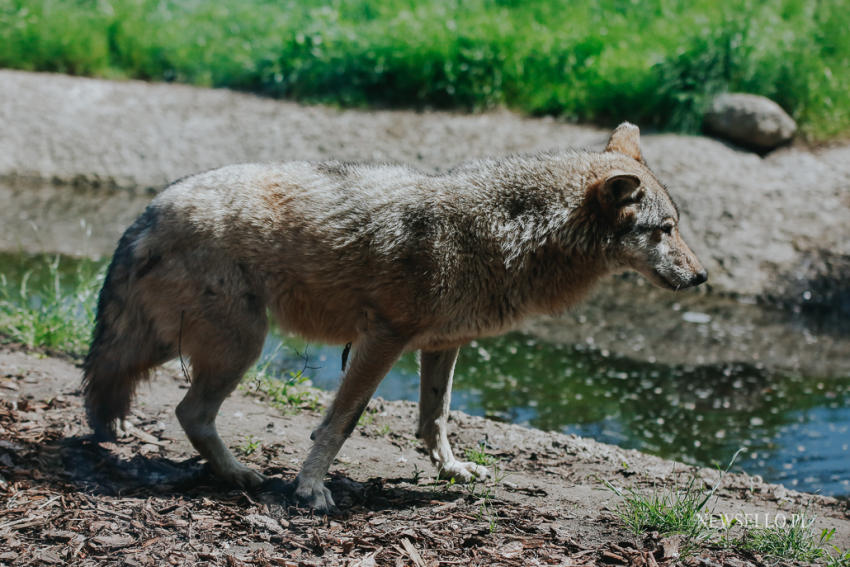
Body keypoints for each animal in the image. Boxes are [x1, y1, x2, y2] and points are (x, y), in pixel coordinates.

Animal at [81, 124, 704, 516]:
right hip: (238, 346)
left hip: (191, 343)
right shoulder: (382, 340)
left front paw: (452, 472)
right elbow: (341, 423)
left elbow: (437, 417)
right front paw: (310, 490)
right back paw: (237, 475)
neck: (511, 233)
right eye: (665, 230)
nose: (701, 278)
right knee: (186, 410)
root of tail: (151, 207)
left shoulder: (443, 345)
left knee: (132, 386)